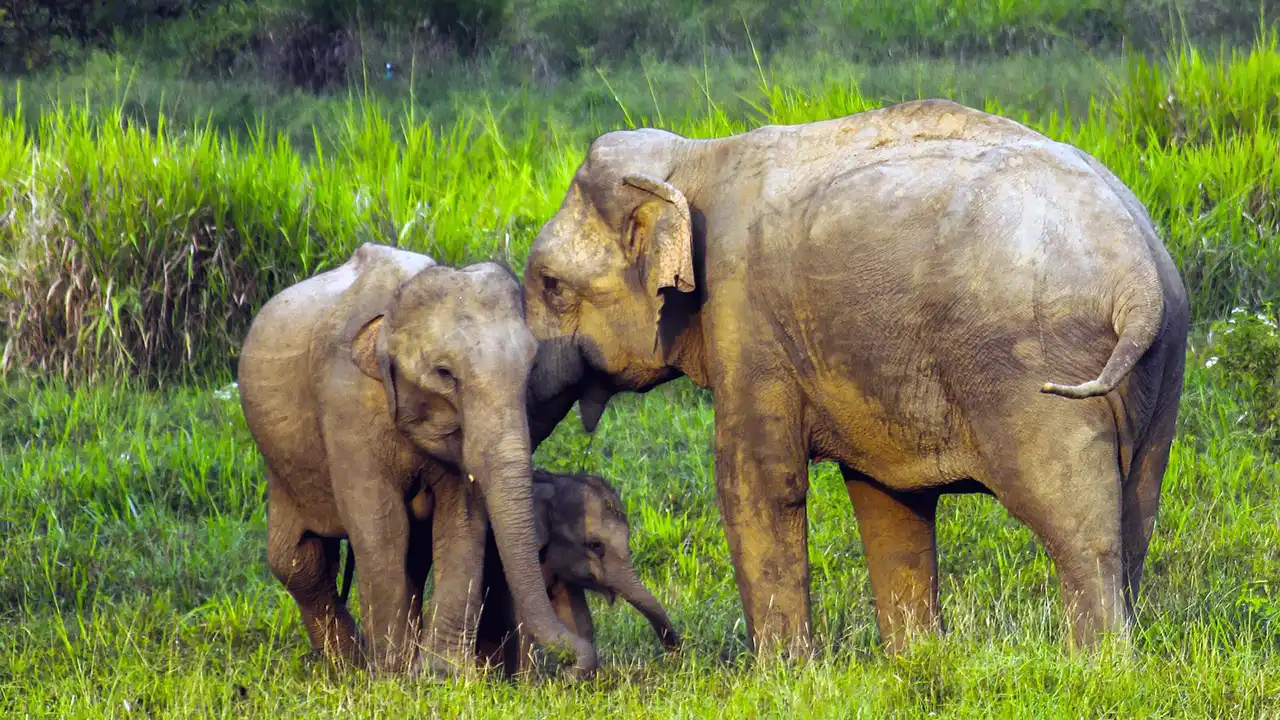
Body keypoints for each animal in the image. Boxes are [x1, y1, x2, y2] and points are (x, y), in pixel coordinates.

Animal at [236, 242, 595, 677]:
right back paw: (348, 665)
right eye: (444, 374)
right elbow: (382, 525)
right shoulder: (345, 405)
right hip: (279, 462)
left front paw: (442, 674)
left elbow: (461, 522)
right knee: (296, 559)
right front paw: (392, 676)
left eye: (531, 368)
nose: (576, 665)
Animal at [519, 98, 1190, 659]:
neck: (694, 155)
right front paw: (915, 662)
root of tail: (1137, 275)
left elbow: (756, 483)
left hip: (1033, 366)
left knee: (1077, 524)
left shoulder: (744, 316)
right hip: (1164, 364)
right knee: (1136, 513)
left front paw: (786, 677)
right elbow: (885, 497)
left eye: (550, 285)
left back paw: (1099, 667)